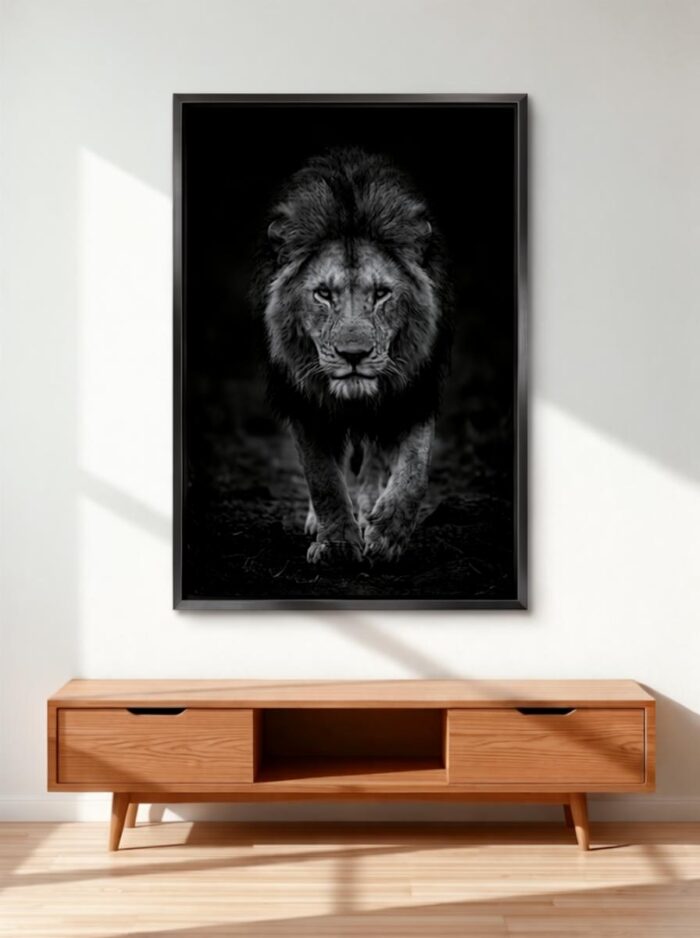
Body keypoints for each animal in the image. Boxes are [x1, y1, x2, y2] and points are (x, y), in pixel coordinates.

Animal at [256, 147, 452, 564]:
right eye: (323, 294)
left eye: (380, 294)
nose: (353, 355)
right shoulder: (303, 400)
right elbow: (323, 477)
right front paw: (337, 546)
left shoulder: (416, 389)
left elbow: (415, 470)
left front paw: (387, 536)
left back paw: (368, 509)